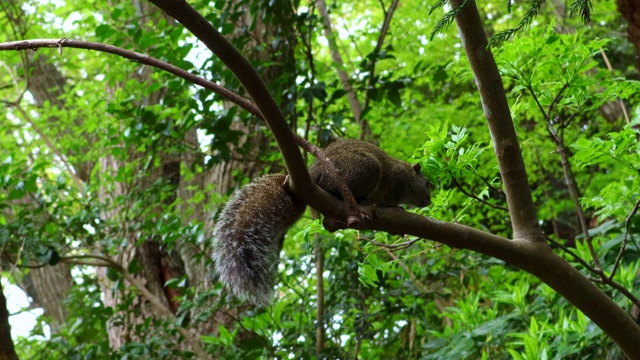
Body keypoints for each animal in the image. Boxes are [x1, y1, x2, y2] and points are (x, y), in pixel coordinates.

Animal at [210, 139, 430, 306]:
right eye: (427, 183)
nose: (428, 201)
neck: (407, 176)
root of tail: (312, 177)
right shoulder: (396, 182)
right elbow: (390, 199)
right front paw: (397, 207)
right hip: (362, 168)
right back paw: (360, 199)